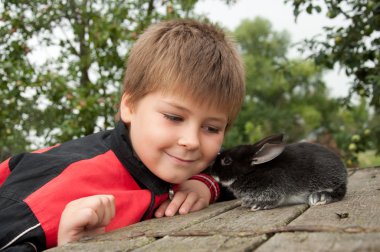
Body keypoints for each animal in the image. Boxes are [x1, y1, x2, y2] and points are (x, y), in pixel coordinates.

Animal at [211, 134, 348, 211]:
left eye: (227, 161)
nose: (212, 172)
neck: (251, 171)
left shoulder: (274, 186)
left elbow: (275, 198)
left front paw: (259, 205)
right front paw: (246, 203)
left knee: (339, 192)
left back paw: (320, 197)